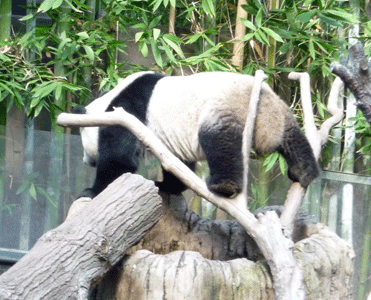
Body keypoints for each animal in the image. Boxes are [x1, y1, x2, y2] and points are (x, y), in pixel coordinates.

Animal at [72, 71, 320, 199]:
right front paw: (168, 186)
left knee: (219, 142)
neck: (108, 102)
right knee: (293, 139)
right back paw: (304, 172)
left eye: (84, 144)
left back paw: (223, 186)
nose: (85, 161)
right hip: (281, 109)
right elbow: (179, 163)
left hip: (223, 109)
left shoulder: (127, 112)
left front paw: (91, 191)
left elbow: (119, 159)